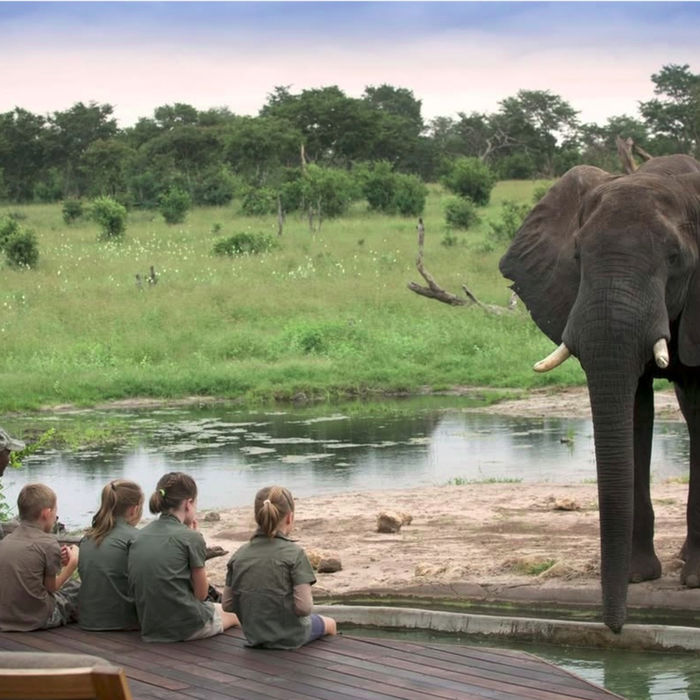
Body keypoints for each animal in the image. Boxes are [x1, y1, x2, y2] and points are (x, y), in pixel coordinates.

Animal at [499, 154, 700, 632]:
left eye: (676, 258)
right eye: (576, 256)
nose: (615, 627)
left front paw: (695, 581)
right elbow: (633, 411)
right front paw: (636, 577)